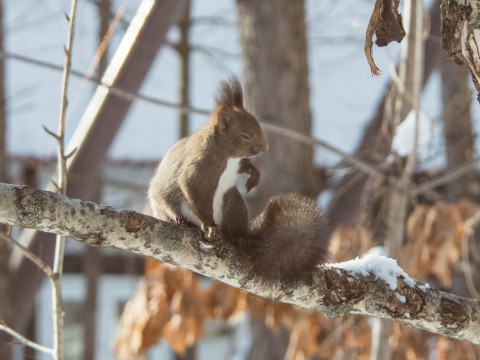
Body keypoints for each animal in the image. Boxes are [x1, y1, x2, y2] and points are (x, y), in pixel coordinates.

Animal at [149, 77, 330, 286]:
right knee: (171, 208)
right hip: (165, 204)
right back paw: (182, 220)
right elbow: (190, 184)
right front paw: (208, 226)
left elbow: (245, 164)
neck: (227, 155)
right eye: (245, 135)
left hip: (233, 203)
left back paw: (241, 239)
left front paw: (254, 173)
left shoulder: (236, 163)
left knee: (235, 230)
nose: (265, 148)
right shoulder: (201, 165)